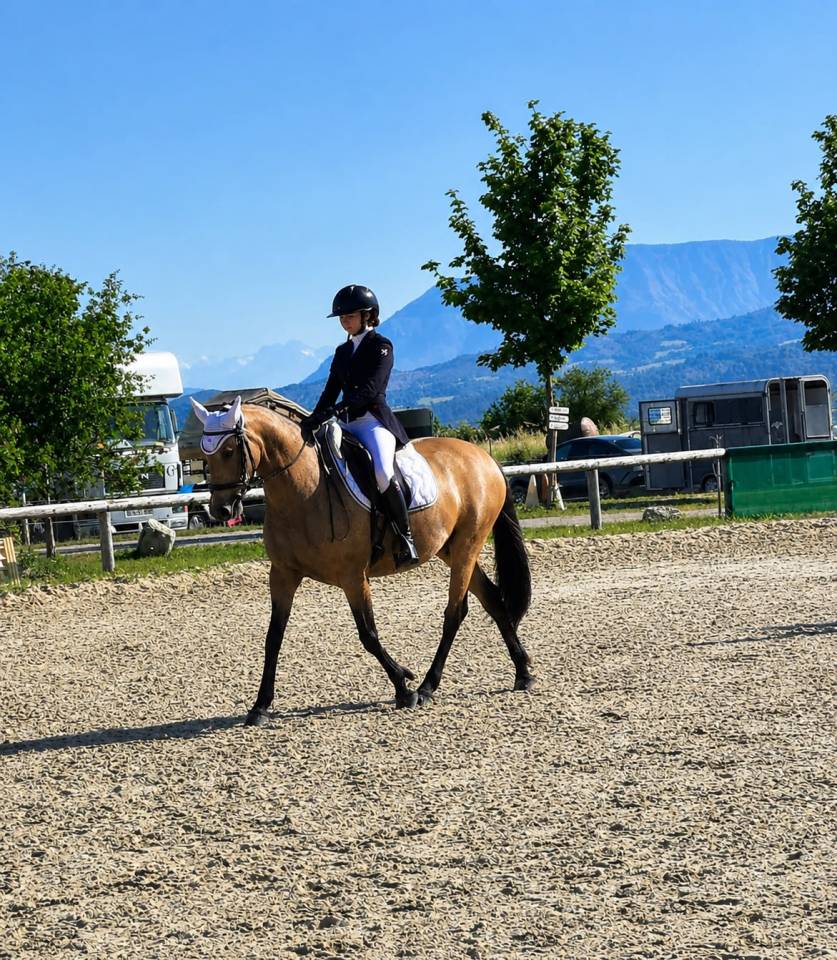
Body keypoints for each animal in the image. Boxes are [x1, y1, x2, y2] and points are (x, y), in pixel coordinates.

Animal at [190, 397, 534, 725]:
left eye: (229, 451)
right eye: (206, 458)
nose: (221, 510)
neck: (303, 487)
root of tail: (484, 458)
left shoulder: (353, 576)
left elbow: (368, 635)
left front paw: (403, 687)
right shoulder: (283, 574)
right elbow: (273, 638)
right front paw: (260, 706)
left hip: (467, 544)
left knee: (454, 613)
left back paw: (426, 687)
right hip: (451, 548)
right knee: (492, 599)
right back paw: (523, 672)